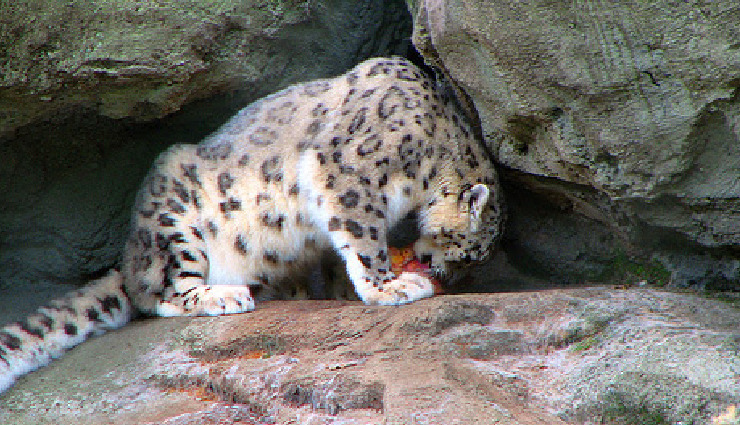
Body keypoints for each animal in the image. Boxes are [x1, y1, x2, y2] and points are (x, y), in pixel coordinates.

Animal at [0, 57, 504, 394]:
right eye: (467, 254)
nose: (443, 276)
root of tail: (129, 256)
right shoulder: (348, 175)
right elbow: (362, 236)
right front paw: (390, 286)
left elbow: (337, 251)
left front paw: (344, 291)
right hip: (175, 225)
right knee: (161, 294)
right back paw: (223, 296)